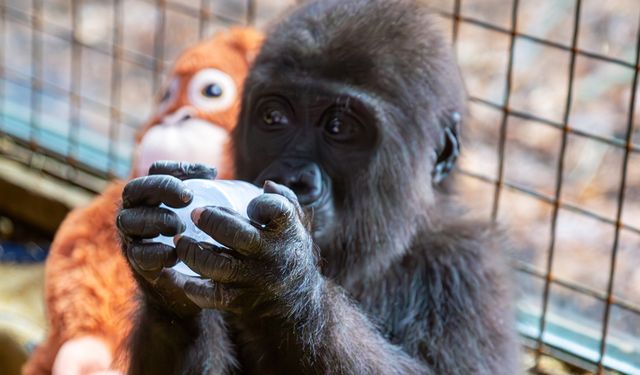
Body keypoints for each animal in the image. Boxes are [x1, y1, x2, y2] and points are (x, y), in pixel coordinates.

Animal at [116, 0, 520, 375]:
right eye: (273, 118)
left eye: (338, 128)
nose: (293, 177)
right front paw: (163, 290)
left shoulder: (468, 268)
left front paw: (282, 283)